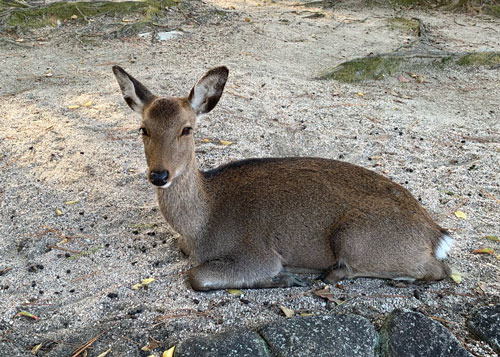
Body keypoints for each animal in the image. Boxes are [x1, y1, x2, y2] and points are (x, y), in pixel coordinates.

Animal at [112, 65, 454, 290]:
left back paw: (334, 274)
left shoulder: (255, 251)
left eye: (186, 128)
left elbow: (196, 276)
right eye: (143, 128)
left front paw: (283, 277)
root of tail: (436, 234)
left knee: (440, 269)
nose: (159, 174)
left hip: (356, 239)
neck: (200, 228)